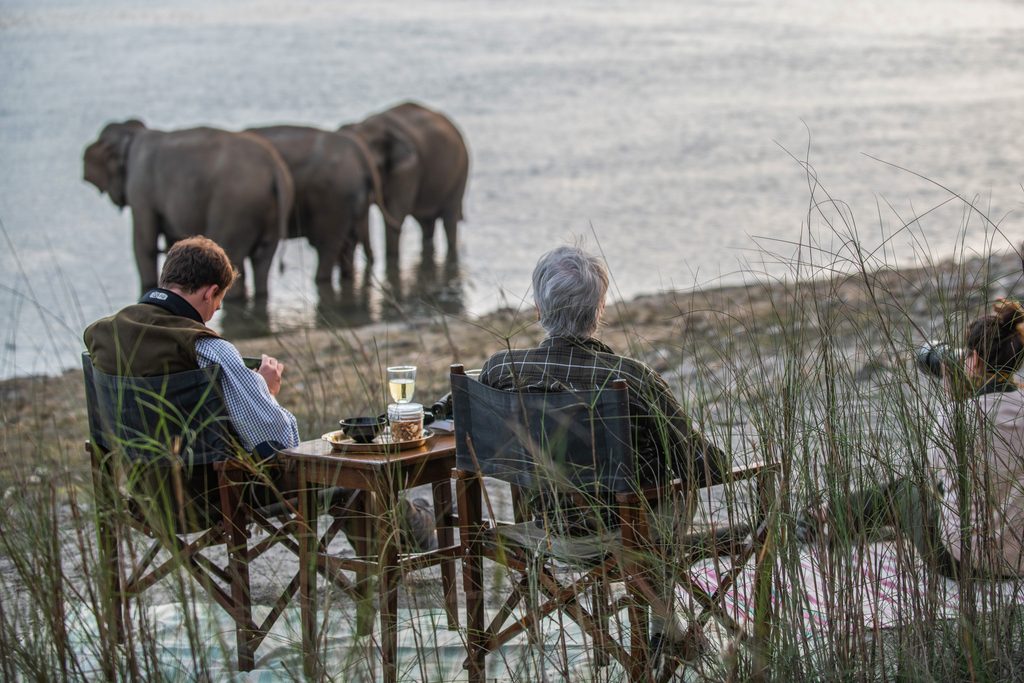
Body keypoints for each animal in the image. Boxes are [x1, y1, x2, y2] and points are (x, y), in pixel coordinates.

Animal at [83, 120, 293, 300]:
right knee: (263, 260)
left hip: (235, 206)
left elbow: (144, 244)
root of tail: (275, 167)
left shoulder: (140, 188)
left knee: (235, 255)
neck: (132, 133)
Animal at [341, 101, 469, 264]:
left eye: (375, 166)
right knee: (426, 224)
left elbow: (396, 215)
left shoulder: (408, 172)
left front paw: (391, 256)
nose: (371, 261)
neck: (366, 127)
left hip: (460, 173)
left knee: (449, 220)